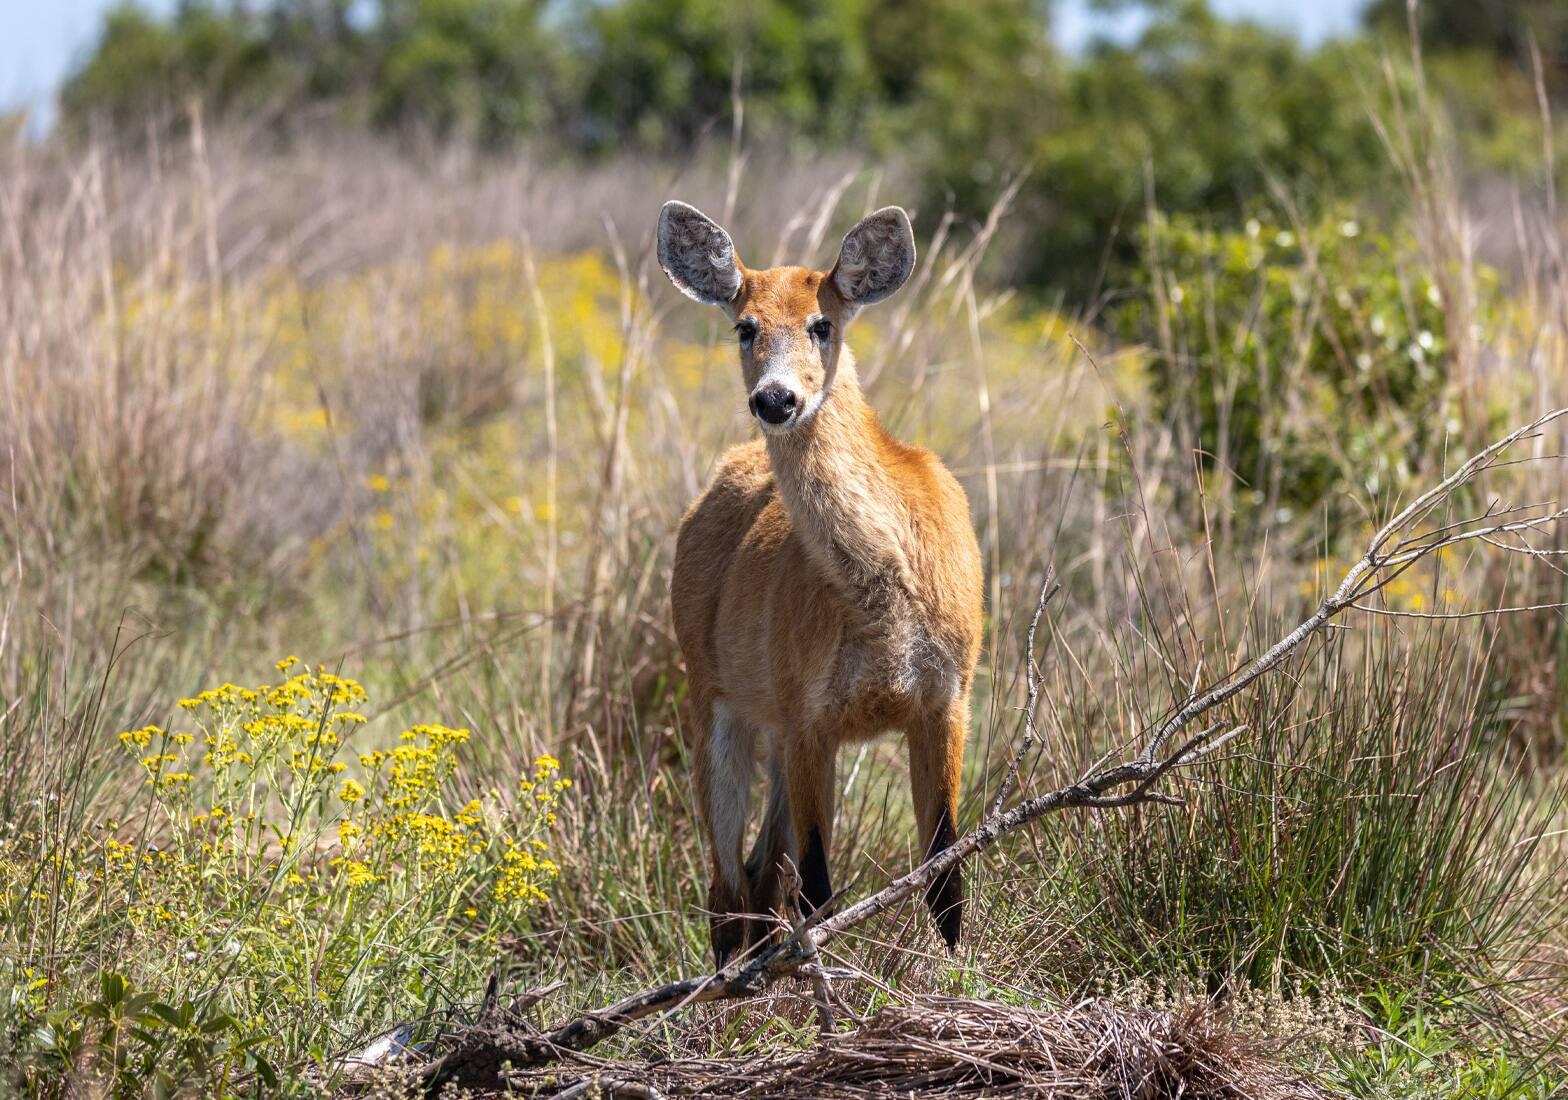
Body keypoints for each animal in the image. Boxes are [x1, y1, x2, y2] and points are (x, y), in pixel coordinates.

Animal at [658, 202, 978, 971]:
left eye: (821, 323)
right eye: (745, 325)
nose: (776, 399)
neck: (883, 605)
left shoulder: (946, 701)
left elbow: (945, 879)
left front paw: (961, 981)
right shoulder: (811, 717)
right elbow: (817, 891)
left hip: (774, 735)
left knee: (757, 875)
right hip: (718, 707)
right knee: (728, 887)